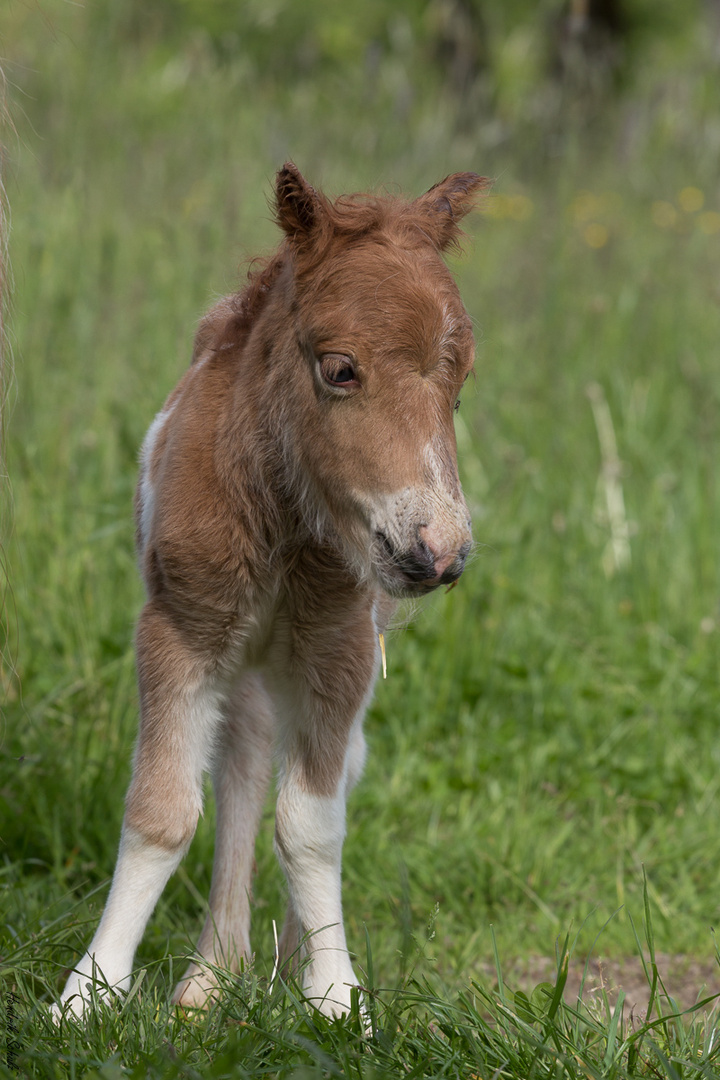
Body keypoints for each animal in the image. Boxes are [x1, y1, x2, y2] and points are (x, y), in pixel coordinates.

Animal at [55, 164, 483, 1015]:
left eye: (459, 381)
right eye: (340, 368)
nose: (440, 553)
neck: (283, 523)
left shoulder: (340, 650)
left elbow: (312, 825)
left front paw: (335, 997)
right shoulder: (179, 633)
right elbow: (161, 813)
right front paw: (88, 993)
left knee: (322, 776)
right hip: (243, 666)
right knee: (243, 769)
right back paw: (208, 980)